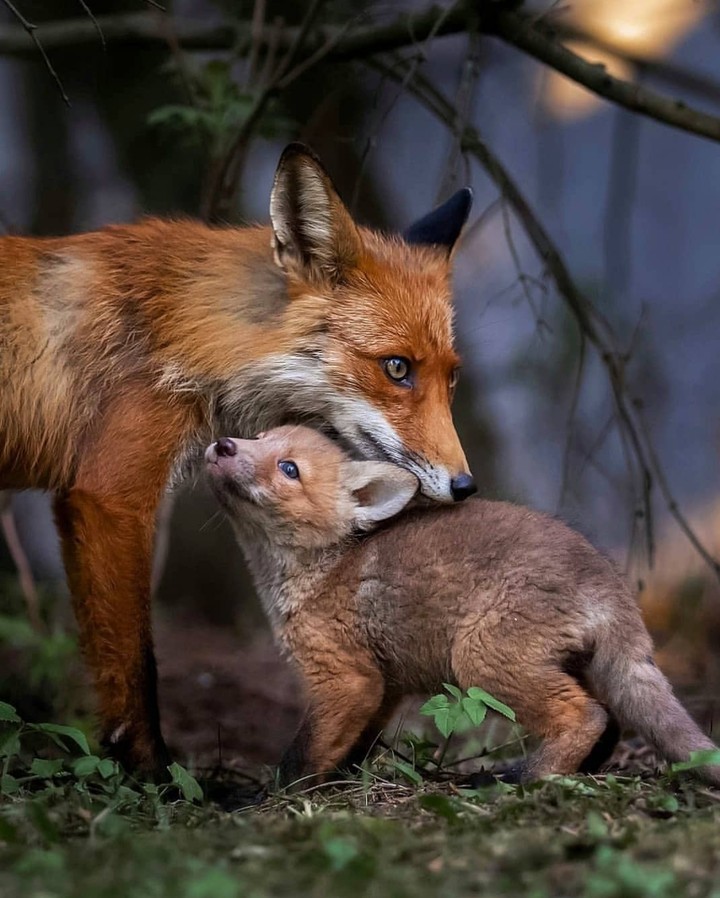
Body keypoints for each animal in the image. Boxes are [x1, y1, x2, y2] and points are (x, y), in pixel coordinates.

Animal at [0, 143, 477, 777]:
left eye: (452, 379)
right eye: (397, 368)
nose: (466, 485)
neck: (184, 331)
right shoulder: (109, 497)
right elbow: (136, 667)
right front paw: (153, 776)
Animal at [205, 425, 720, 789]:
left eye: (289, 469)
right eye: (259, 437)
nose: (223, 445)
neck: (319, 571)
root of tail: (612, 585)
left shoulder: (346, 677)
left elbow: (303, 755)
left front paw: (267, 799)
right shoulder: (383, 686)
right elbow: (353, 747)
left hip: (481, 660)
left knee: (587, 716)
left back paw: (520, 779)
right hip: (573, 665)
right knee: (610, 721)